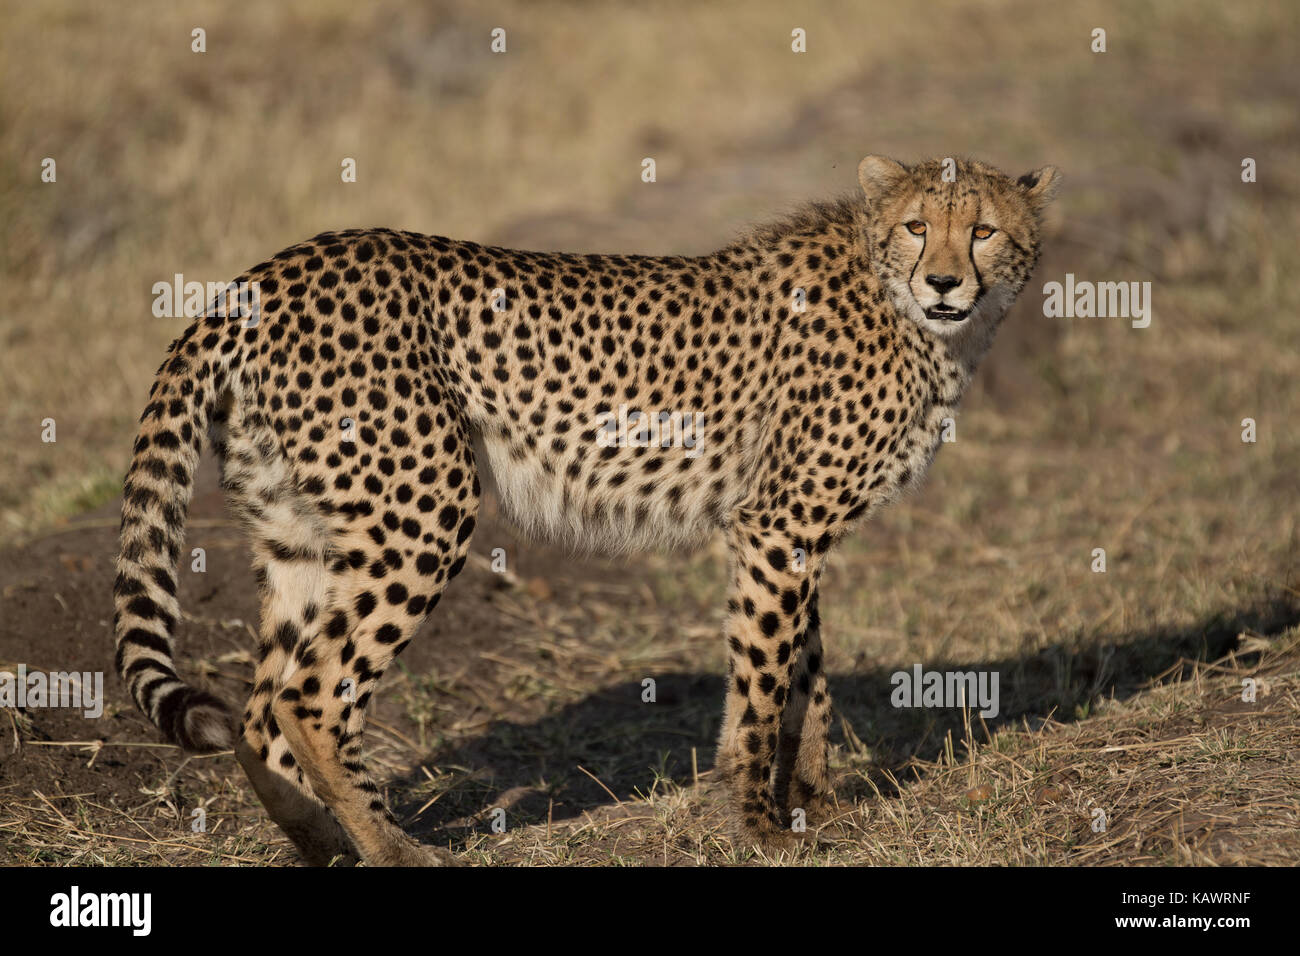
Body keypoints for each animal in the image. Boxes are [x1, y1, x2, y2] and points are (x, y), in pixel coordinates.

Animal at [114, 155, 1055, 868]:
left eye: (982, 231)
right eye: (917, 226)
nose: (944, 281)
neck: (916, 318)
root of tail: (266, 273)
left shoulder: (785, 531)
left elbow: (805, 676)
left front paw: (815, 804)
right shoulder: (780, 526)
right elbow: (763, 681)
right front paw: (758, 826)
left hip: (306, 534)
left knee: (259, 711)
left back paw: (326, 844)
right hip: (423, 512)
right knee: (307, 698)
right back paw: (392, 851)